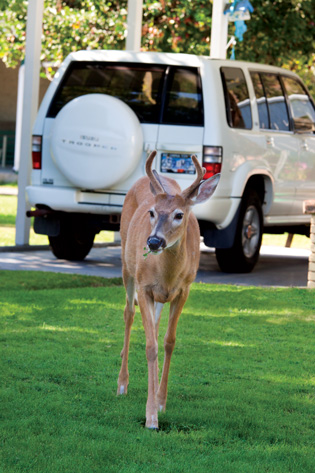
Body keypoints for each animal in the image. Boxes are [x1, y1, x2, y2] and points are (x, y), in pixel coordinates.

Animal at [118, 150, 220, 428]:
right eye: (152, 212)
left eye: (179, 215)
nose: (153, 241)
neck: (167, 275)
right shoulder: (144, 286)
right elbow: (151, 346)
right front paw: (151, 416)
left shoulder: (184, 289)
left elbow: (168, 342)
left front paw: (161, 402)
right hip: (126, 264)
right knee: (128, 314)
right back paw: (122, 384)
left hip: (159, 297)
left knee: (154, 324)